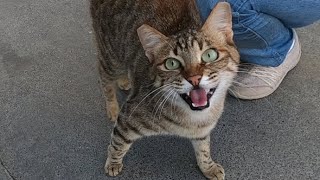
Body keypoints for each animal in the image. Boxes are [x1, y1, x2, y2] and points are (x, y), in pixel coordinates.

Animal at [89, 0, 239, 179]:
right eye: (171, 63)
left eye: (209, 55)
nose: (194, 78)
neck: (194, 119)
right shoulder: (127, 118)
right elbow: (117, 144)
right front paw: (113, 163)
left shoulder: (202, 131)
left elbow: (203, 150)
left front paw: (208, 167)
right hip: (110, 57)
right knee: (104, 79)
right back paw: (112, 106)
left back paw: (125, 80)